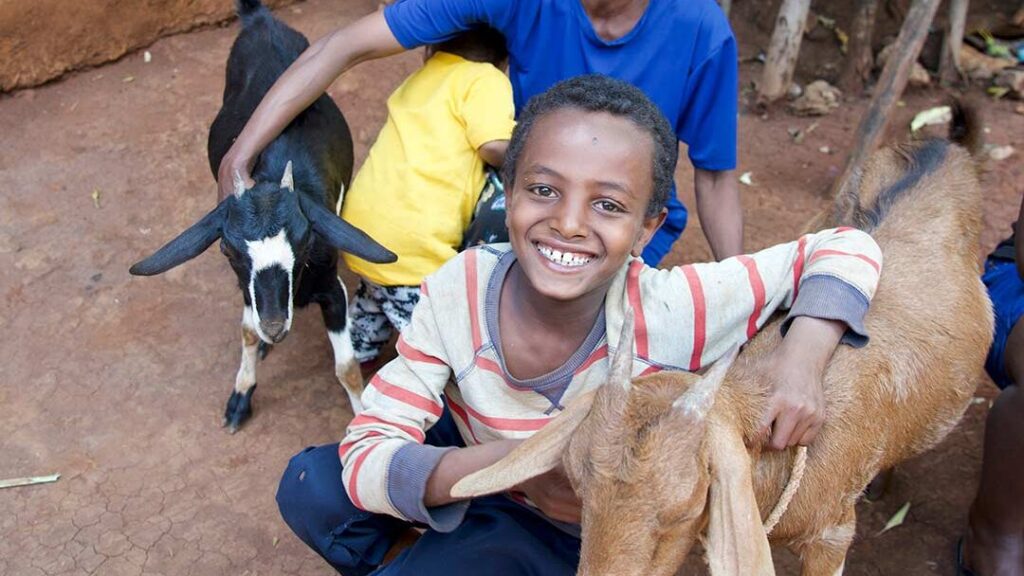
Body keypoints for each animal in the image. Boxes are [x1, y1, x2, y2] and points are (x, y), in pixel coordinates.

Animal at [130, 0, 393, 430]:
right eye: (227, 250)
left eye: (306, 242)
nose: (275, 325)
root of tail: (261, 18)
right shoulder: (246, 288)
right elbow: (247, 333)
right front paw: (241, 396)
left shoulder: (331, 287)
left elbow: (347, 368)